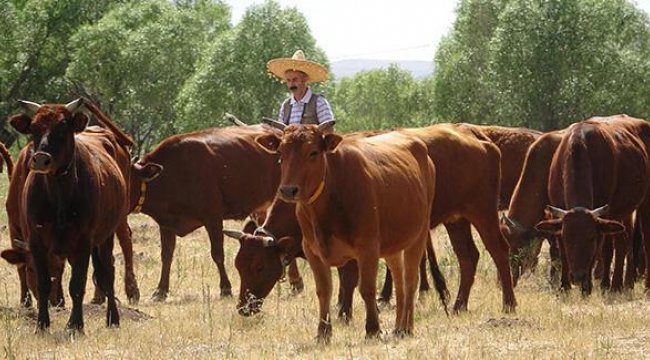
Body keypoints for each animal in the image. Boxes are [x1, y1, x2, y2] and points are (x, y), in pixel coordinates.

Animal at [6, 98, 128, 332]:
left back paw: (114, 319)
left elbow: (77, 285)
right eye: (34, 128)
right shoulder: (36, 241)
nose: (40, 159)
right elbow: (44, 283)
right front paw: (42, 324)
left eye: (63, 128)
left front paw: (75, 324)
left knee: (108, 274)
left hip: (105, 238)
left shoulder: (83, 242)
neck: (58, 195)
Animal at [129, 125, 280, 300]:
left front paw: (225, 288)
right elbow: (166, 255)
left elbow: (217, 254)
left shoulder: (213, 218)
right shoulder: (166, 223)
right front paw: (160, 291)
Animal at [256, 121, 432, 340]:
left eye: (313, 152)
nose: (288, 190)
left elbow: (366, 288)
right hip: (393, 244)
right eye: (281, 152)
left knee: (410, 280)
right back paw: (398, 326)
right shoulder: (312, 250)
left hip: (419, 235)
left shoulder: (367, 247)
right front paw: (323, 332)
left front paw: (373, 329)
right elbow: (324, 290)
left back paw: (407, 327)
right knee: (399, 279)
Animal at [532, 116, 648, 294]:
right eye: (567, 237)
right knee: (622, 243)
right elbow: (563, 253)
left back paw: (621, 285)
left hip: (644, 203)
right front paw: (564, 286)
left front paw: (588, 287)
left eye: (591, 237)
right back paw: (620, 284)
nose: (578, 276)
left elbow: (602, 251)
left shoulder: (602, 221)